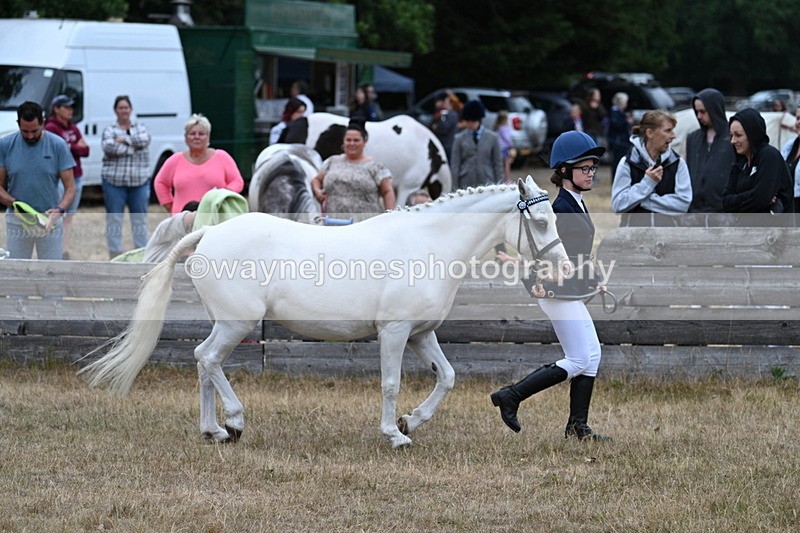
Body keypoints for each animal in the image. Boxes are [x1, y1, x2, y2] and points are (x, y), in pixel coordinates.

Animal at [79, 176, 570, 448]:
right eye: (541, 221)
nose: (564, 268)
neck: (428, 243)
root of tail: (208, 235)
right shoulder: (395, 332)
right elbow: (390, 384)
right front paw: (394, 434)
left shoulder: (420, 333)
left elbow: (447, 377)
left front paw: (412, 420)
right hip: (237, 323)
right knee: (207, 359)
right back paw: (234, 421)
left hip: (227, 323)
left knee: (203, 363)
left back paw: (213, 430)